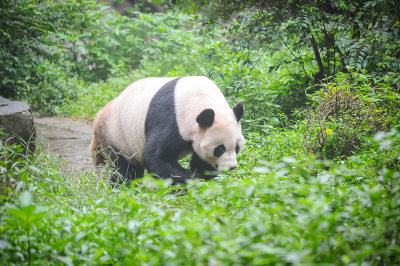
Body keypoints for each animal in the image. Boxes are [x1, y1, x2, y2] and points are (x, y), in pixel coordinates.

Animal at [90, 76, 245, 184]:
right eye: (220, 149)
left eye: (237, 147)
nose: (231, 167)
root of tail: (99, 117)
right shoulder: (172, 119)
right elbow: (155, 157)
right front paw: (192, 179)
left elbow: (202, 161)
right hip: (117, 136)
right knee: (126, 169)